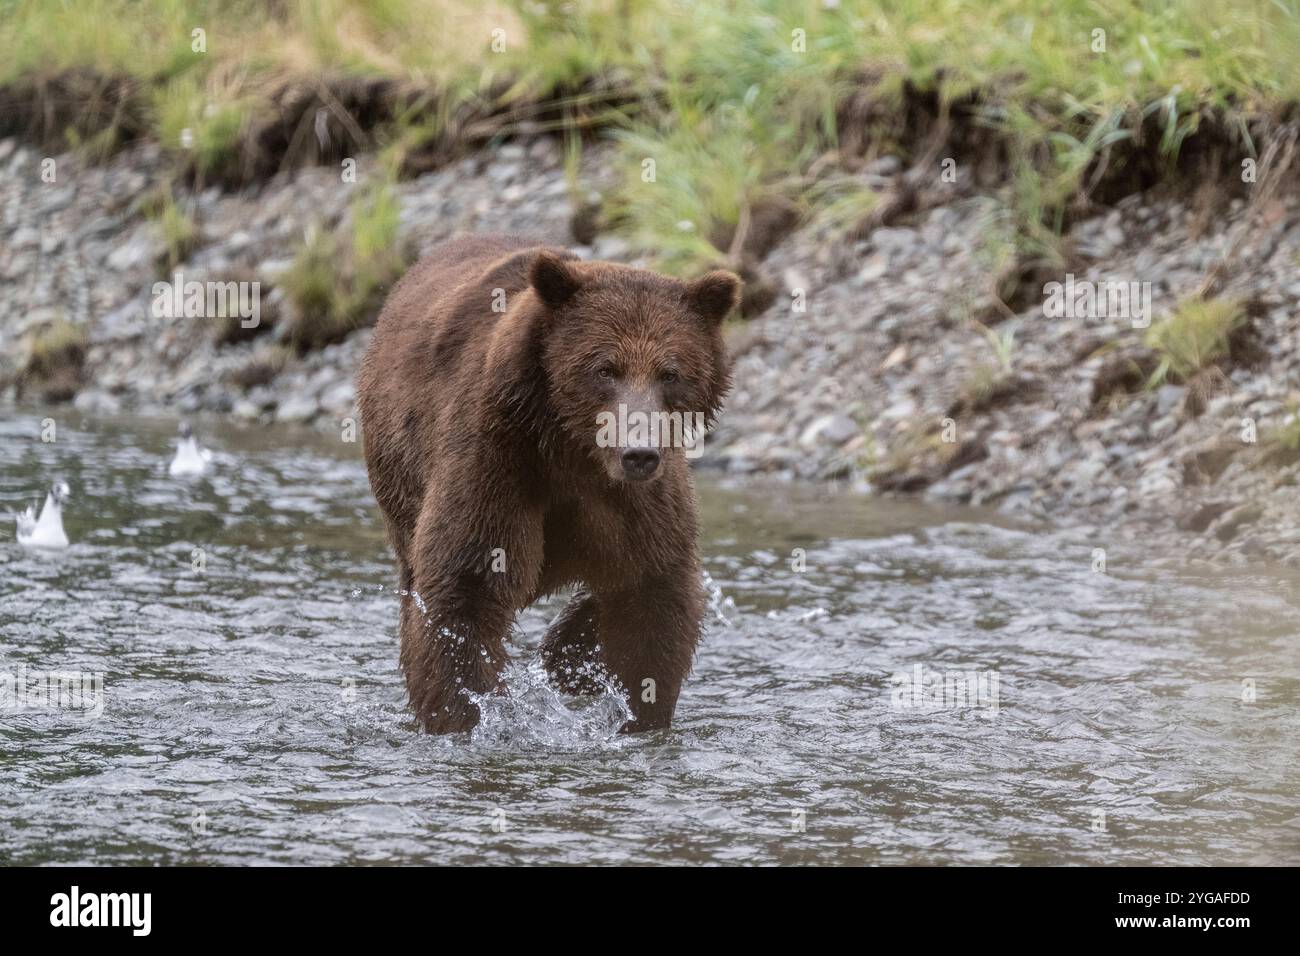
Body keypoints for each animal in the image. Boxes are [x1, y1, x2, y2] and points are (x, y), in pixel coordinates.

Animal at [357, 233, 739, 734]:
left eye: (670, 372)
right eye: (604, 368)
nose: (638, 452)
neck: (571, 452)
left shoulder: (637, 501)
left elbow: (652, 593)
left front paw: (635, 707)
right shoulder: (498, 458)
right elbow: (465, 584)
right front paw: (469, 713)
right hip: (399, 479)